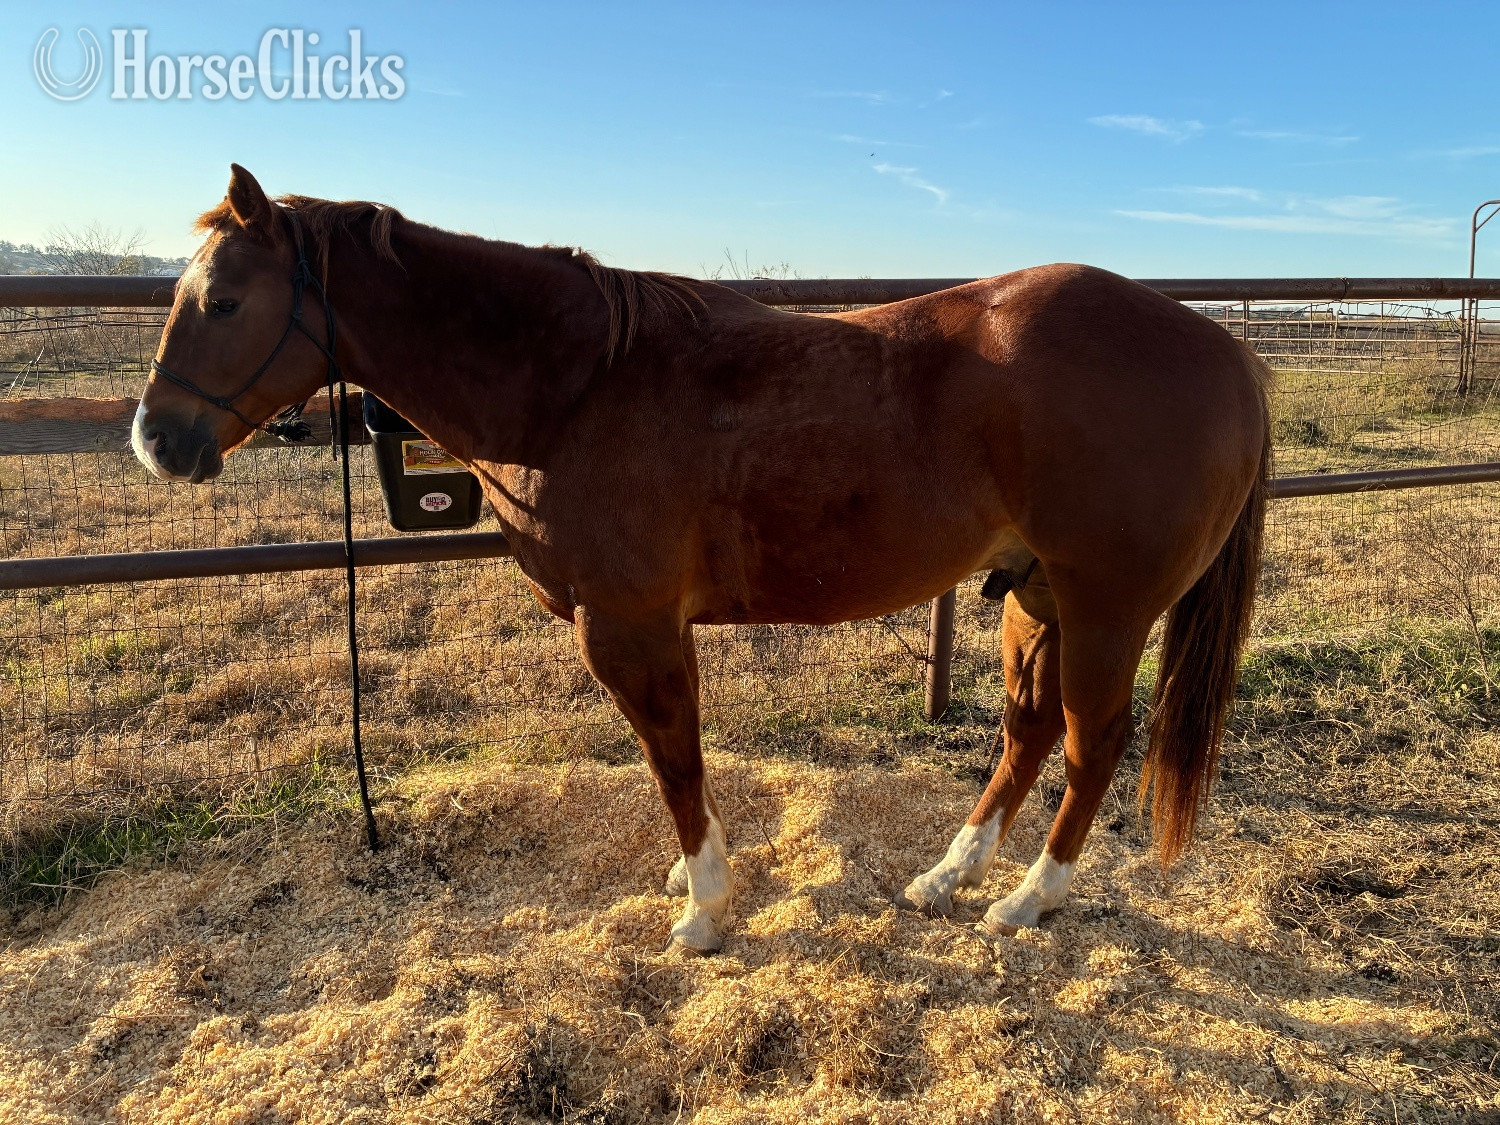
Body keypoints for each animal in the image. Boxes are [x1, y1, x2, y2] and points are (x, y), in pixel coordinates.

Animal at [133, 165, 1270, 954]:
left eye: (223, 301)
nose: (156, 440)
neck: (577, 386)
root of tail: (1223, 350)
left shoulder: (628, 626)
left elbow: (673, 759)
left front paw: (705, 910)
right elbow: (679, 761)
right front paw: (700, 885)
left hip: (1106, 606)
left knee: (1090, 745)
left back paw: (1030, 900)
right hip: (1034, 594)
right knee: (1027, 733)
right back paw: (949, 878)